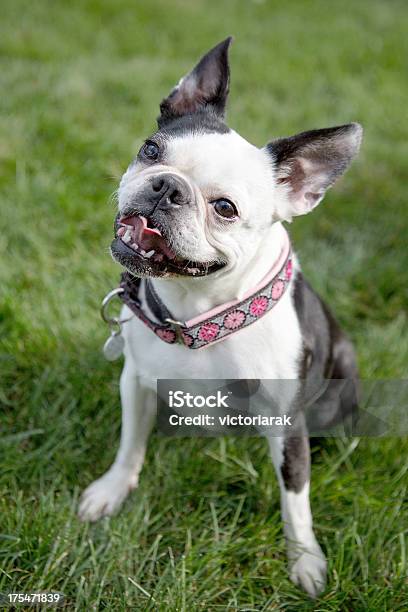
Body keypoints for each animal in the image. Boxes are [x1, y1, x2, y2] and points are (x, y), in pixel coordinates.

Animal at [78, 38, 362, 596]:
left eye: (225, 208)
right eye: (150, 150)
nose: (167, 187)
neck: (196, 314)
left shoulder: (287, 424)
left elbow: (295, 501)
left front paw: (305, 560)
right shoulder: (136, 382)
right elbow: (130, 445)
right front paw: (112, 490)